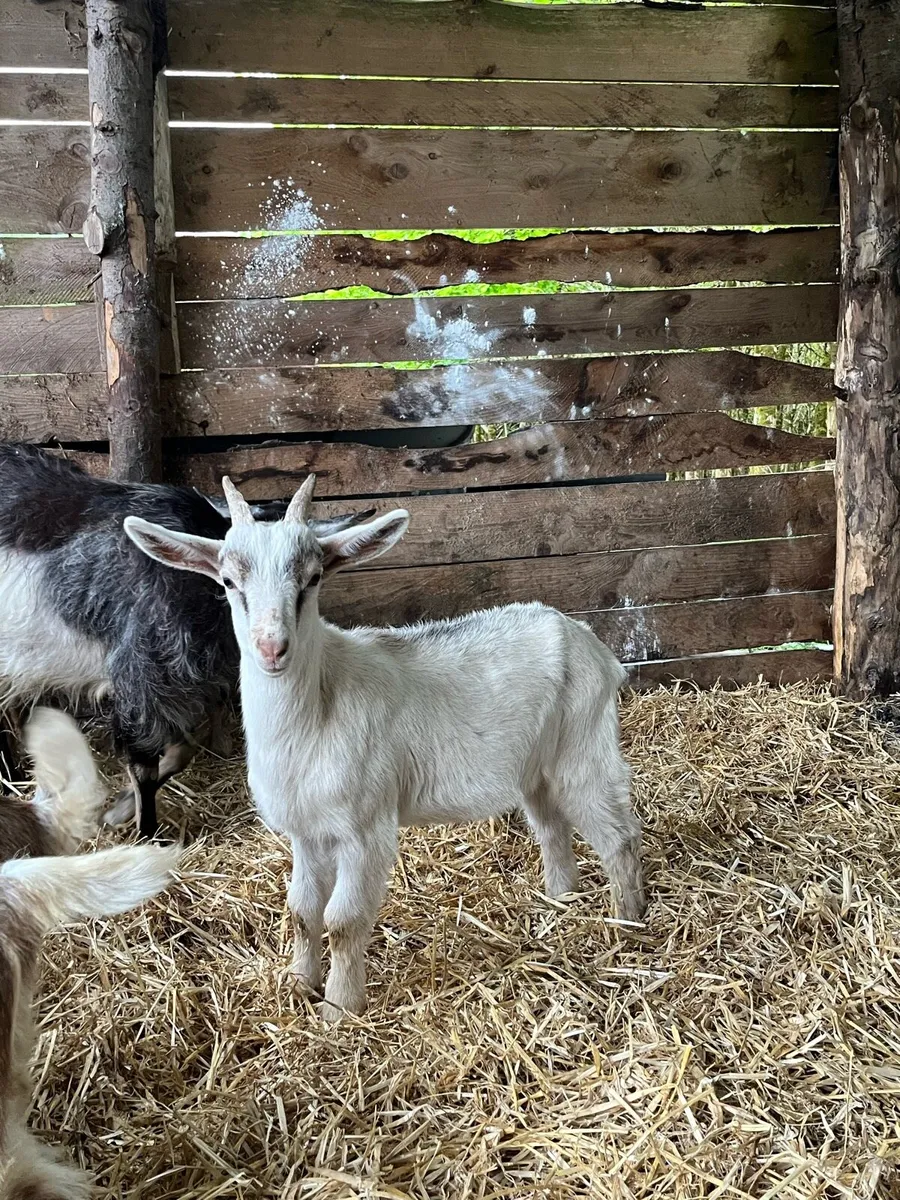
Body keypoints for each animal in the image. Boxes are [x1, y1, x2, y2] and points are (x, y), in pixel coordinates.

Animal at [0, 443, 373, 838]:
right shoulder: (139, 679)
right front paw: (146, 833)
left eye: (313, 576)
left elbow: (182, 753)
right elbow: (144, 768)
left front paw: (116, 811)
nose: (273, 644)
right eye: (229, 578)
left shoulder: (181, 689)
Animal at [125, 474, 646, 1021]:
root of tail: (588, 639)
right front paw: (298, 985)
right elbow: (301, 911)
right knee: (552, 827)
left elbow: (344, 921)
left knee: (618, 835)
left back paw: (628, 922)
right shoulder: (305, 832)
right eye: (228, 582)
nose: (272, 648)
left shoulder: (365, 829)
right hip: (536, 769)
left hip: (583, 747)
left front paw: (339, 1009)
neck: (320, 704)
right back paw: (559, 901)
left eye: (312, 579)